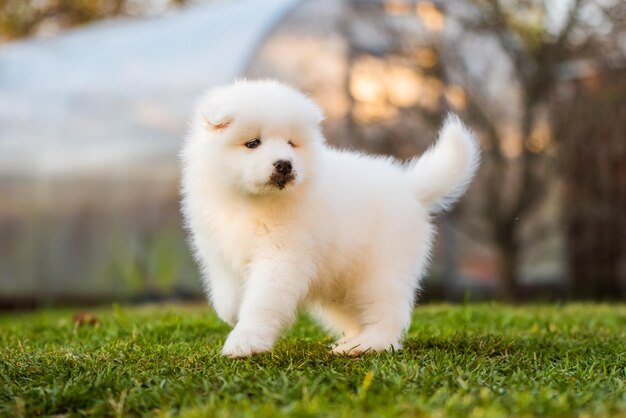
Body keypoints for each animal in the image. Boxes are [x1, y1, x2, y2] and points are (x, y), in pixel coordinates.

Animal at [180, 80, 478, 358]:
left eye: (291, 143)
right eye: (253, 143)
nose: (284, 164)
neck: (252, 201)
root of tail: (410, 187)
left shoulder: (281, 258)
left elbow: (261, 302)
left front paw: (244, 342)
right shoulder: (218, 252)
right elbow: (226, 291)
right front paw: (231, 313)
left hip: (380, 269)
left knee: (387, 313)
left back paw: (369, 345)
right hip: (340, 283)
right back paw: (350, 343)